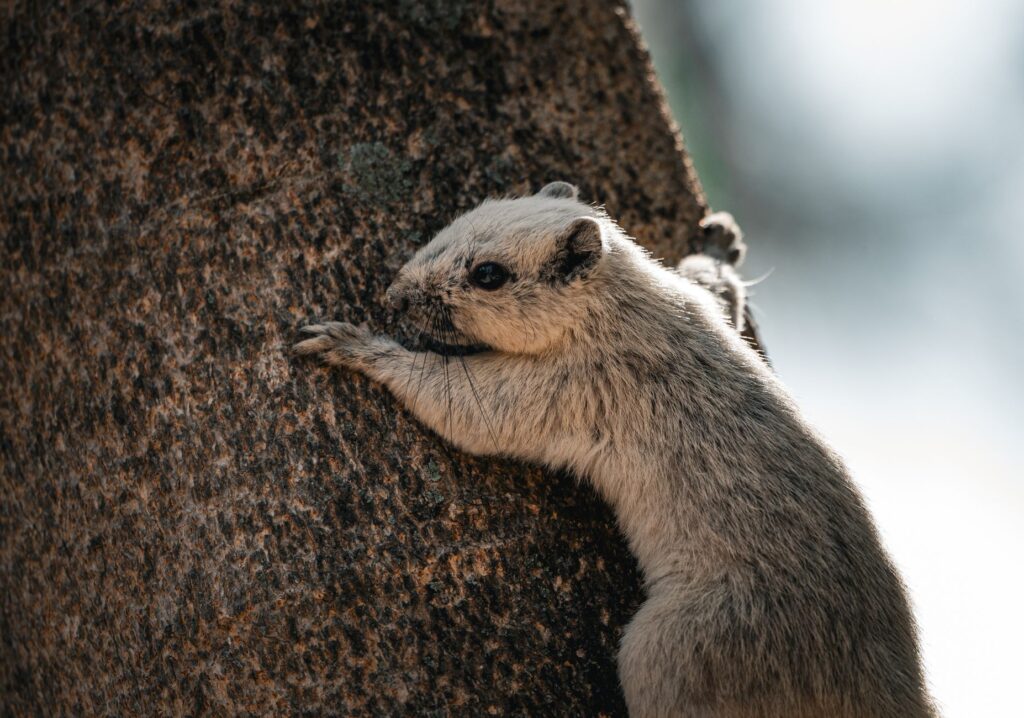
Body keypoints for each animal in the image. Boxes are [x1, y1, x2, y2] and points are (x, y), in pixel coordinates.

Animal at [295, 182, 934, 717]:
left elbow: (457, 404)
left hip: (674, 652)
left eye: (489, 274)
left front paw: (357, 346)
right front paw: (720, 245)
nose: (393, 298)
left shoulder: (568, 389)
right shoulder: (694, 305)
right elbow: (716, 288)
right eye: (453, 224)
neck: (621, 308)